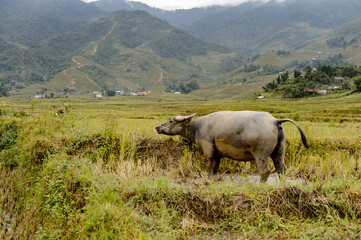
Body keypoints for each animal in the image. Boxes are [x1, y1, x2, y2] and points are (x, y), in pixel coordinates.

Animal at [155, 111, 310, 182]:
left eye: (171, 121)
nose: (157, 127)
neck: (198, 127)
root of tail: (274, 121)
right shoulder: (217, 154)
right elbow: (215, 169)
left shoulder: (208, 151)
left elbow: (209, 167)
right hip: (279, 151)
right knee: (281, 168)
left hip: (261, 154)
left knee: (265, 170)